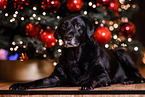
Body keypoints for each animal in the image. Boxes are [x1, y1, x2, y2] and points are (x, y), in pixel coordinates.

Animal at [9, 14, 144, 90]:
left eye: (78, 26)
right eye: (64, 26)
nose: (68, 37)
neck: (75, 55)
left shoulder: (102, 74)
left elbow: (94, 78)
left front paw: (88, 84)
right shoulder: (55, 77)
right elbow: (36, 81)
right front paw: (19, 85)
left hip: (121, 52)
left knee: (141, 77)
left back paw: (129, 80)